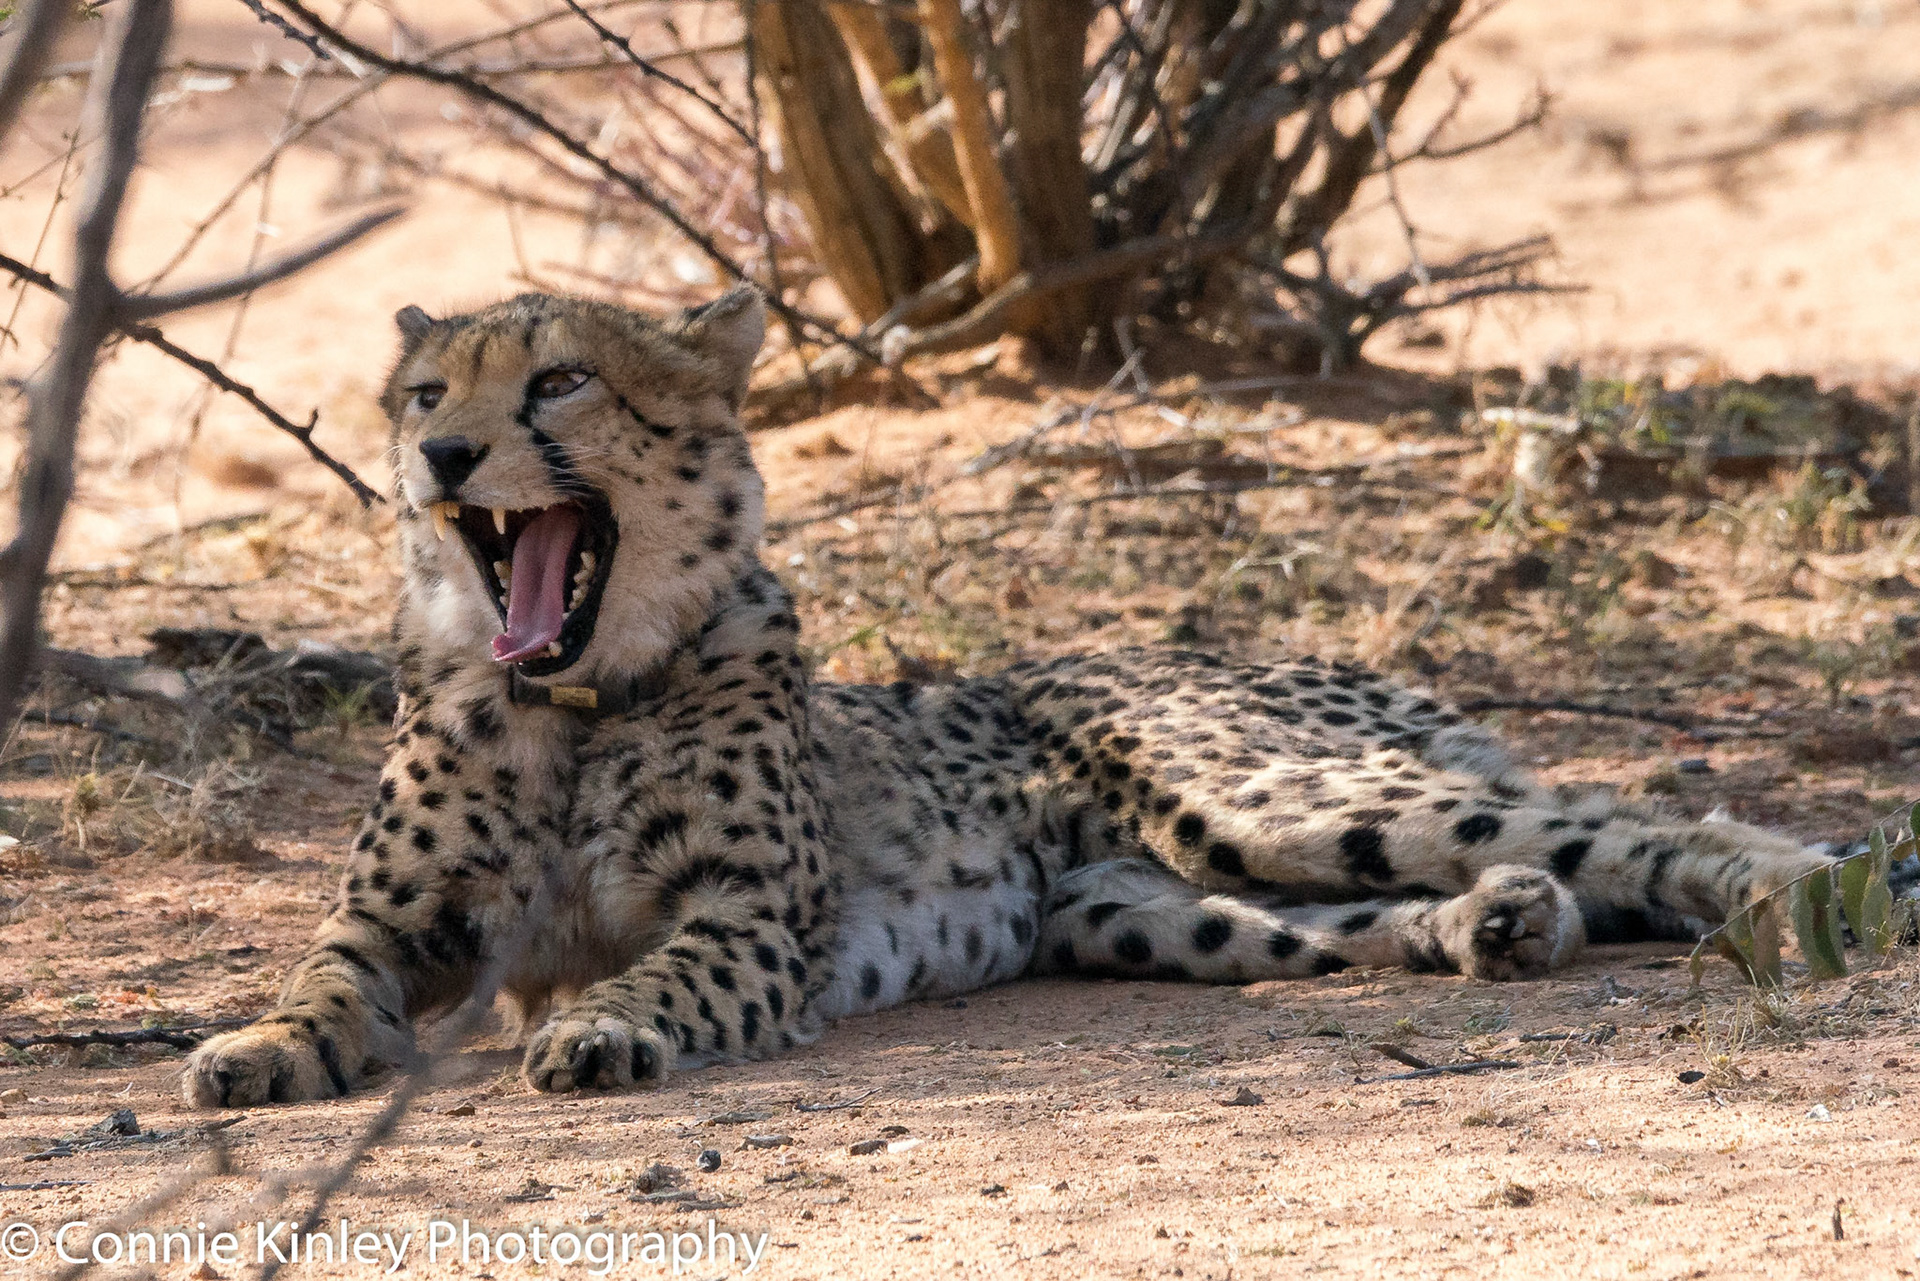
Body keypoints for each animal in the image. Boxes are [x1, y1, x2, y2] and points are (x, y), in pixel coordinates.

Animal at [183, 287, 1835, 1107]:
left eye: (559, 382)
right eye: (424, 395)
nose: (442, 457)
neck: (577, 703)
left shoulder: (752, 922)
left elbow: (659, 976)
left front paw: (603, 1029)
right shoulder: (396, 923)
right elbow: (321, 976)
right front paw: (258, 1047)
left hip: (1255, 794)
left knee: (1619, 815)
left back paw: (1806, 890)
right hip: (1134, 905)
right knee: (1362, 913)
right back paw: (1498, 923)